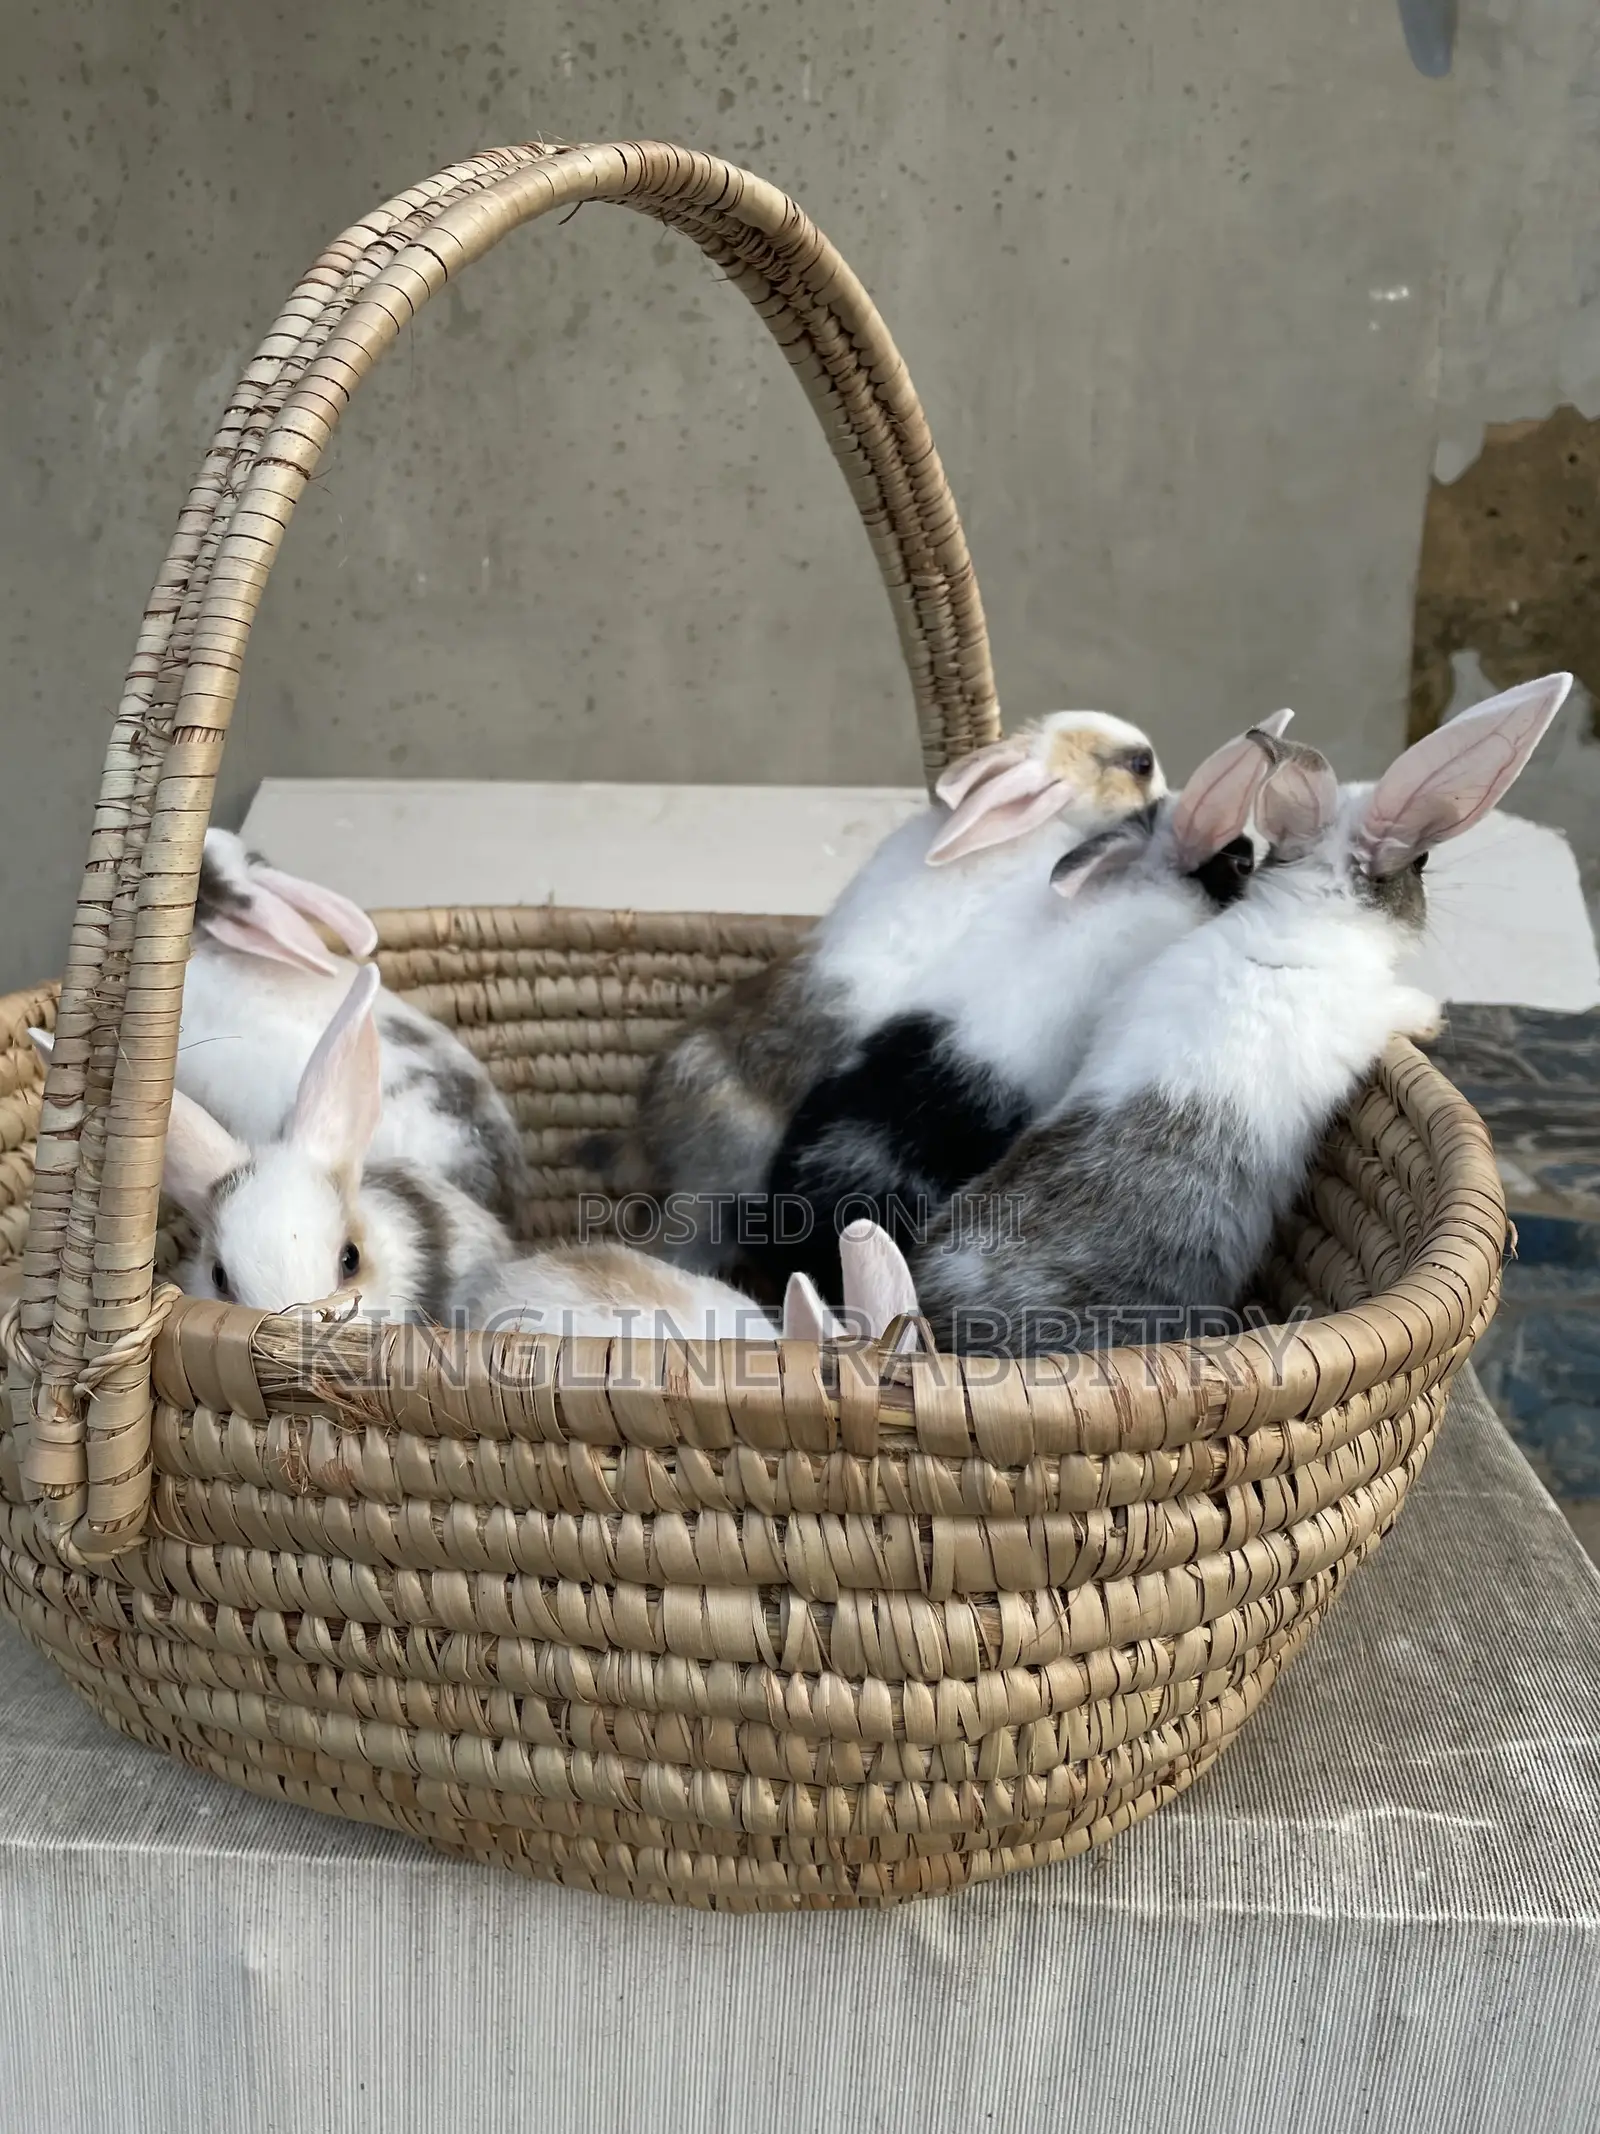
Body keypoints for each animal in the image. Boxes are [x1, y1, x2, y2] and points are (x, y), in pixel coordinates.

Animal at [905, 672, 1573, 1356]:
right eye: (1421, 863)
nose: (1425, 876)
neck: (1295, 923)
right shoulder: (1371, 1007)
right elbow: (1398, 1006)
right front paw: (1432, 1017)